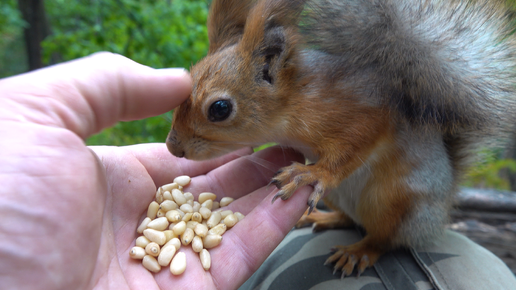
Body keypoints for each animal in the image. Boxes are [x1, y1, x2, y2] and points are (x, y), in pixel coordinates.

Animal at [164, 0, 516, 278]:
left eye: (220, 109)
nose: (173, 147)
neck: (297, 98)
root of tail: (441, 210)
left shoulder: (362, 115)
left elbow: (353, 148)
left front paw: (312, 173)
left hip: (395, 200)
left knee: (385, 238)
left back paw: (357, 251)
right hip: (342, 198)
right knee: (349, 218)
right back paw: (321, 215)